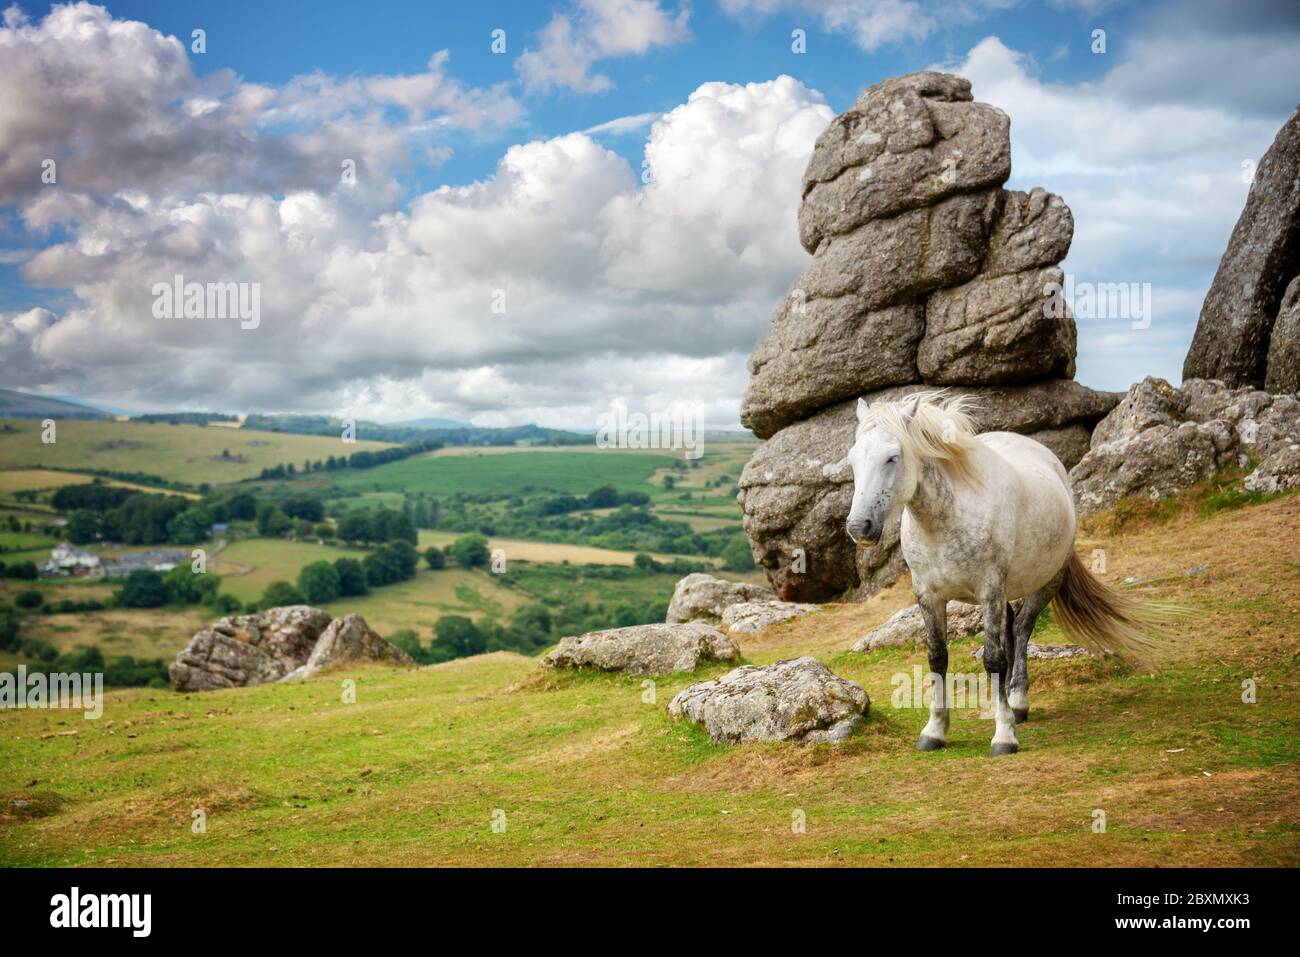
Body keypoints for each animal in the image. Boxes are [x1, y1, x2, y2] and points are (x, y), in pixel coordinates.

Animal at [847, 392, 1164, 748]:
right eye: (853, 460)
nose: (859, 527)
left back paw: (1017, 702)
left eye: (892, 457)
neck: (946, 517)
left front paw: (1004, 736)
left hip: (1045, 581)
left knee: (1022, 628)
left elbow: (993, 659)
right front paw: (935, 731)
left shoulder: (990, 591)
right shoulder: (928, 595)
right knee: (1012, 627)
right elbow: (937, 657)